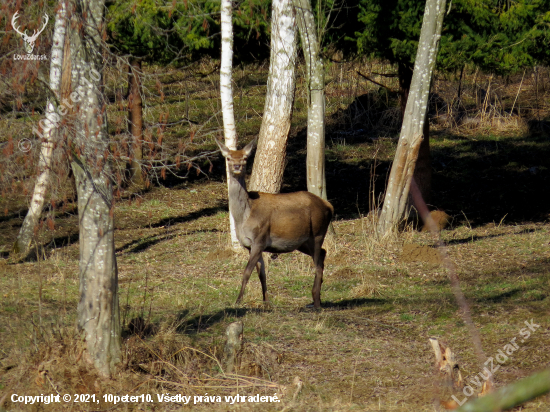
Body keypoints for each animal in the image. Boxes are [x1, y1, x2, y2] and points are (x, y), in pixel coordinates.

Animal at [218, 138, 334, 308]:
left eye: (245, 158)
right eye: (228, 158)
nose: (237, 166)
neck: (244, 217)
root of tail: (329, 206)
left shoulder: (259, 239)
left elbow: (246, 272)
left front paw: (238, 301)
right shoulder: (250, 245)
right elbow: (261, 273)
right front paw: (266, 302)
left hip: (318, 232)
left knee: (318, 263)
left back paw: (316, 301)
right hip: (302, 242)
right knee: (324, 254)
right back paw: (316, 299)